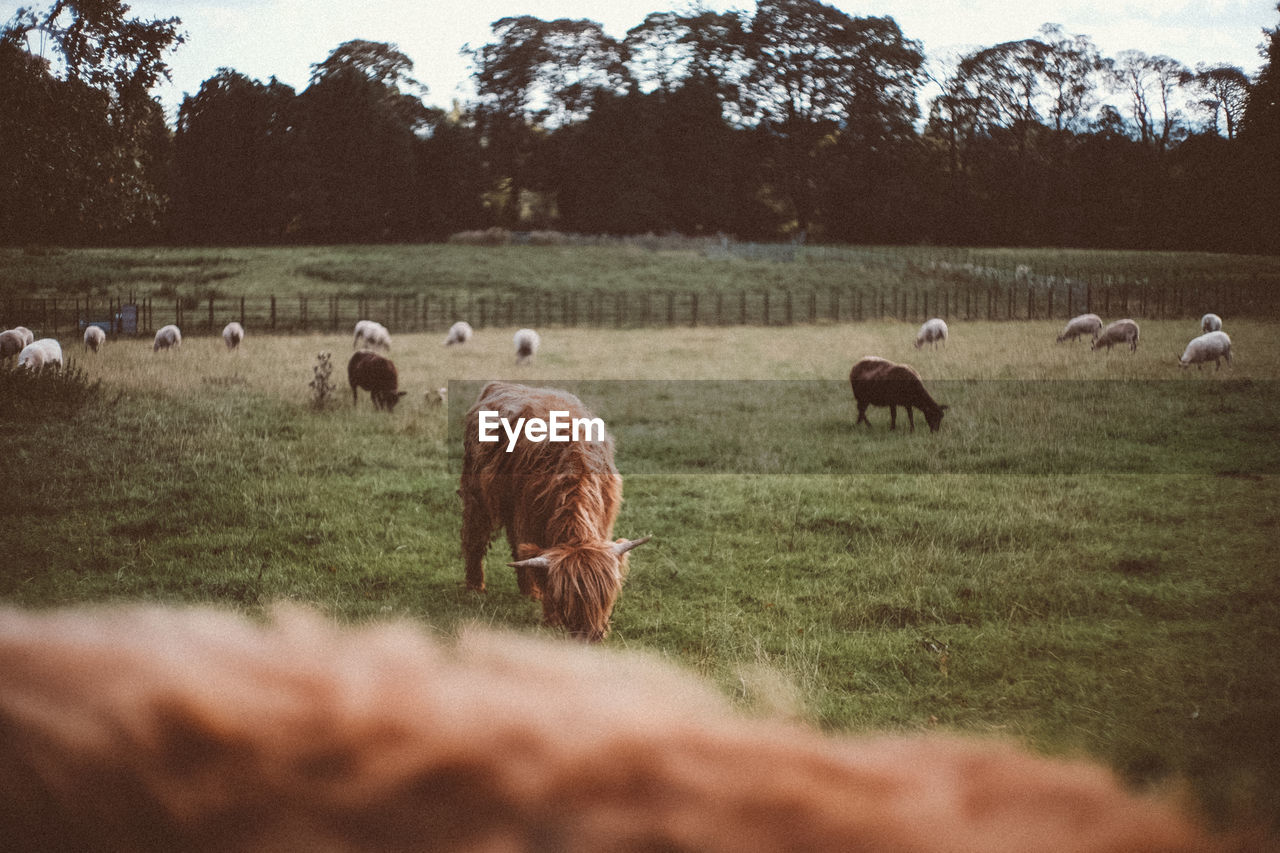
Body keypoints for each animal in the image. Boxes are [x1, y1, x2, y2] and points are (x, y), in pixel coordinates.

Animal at [460, 379, 650, 637]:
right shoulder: (531, 519)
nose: (591, 635)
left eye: (606, 596)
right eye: (568, 598)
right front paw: (550, 616)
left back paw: (527, 592)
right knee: (476, 536)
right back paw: (475, 586)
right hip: (478, 493)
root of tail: (499, 384)